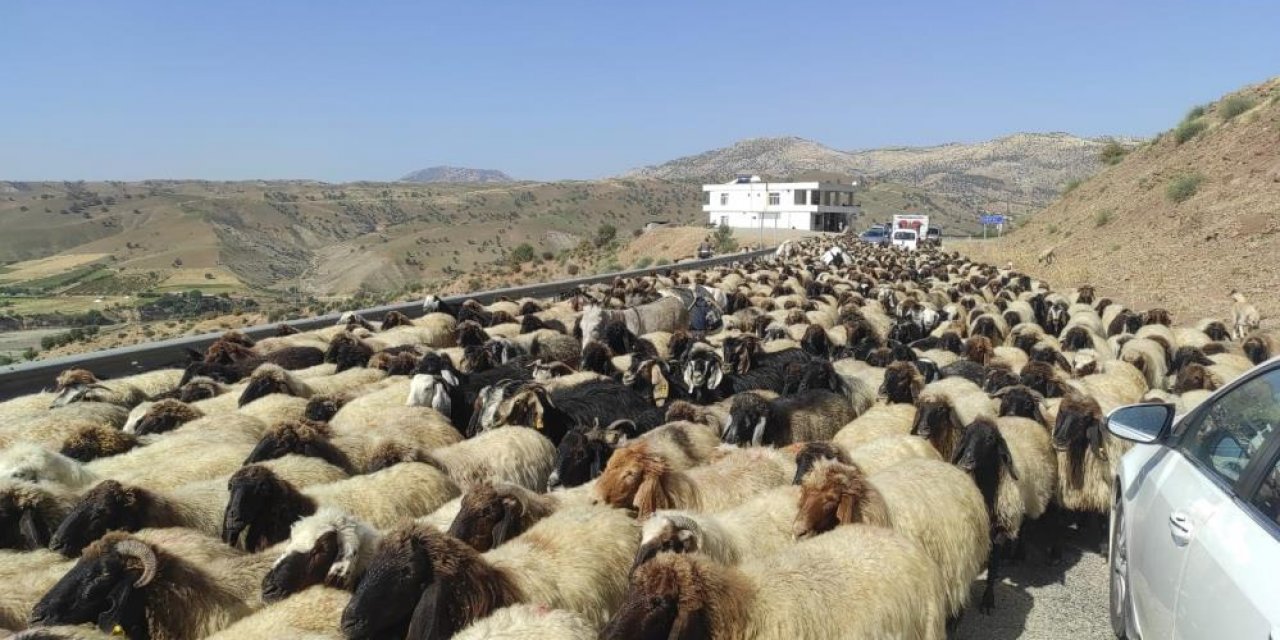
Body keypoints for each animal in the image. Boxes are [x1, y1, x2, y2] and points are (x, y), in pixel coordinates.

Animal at [788, 460, 988, 619]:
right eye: (805, 493)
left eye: (831, 499)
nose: (798, 531)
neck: (873, 508)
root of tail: (953, 469)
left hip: (959, 566)